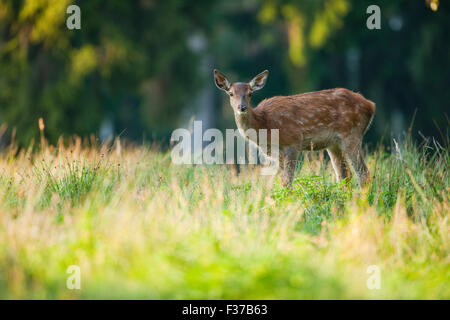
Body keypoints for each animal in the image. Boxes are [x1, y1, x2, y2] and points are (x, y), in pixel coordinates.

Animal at [213, 68, 374, 188]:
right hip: (333, 144)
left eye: (250, 93)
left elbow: (287, 182)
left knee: (363, 173)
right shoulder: (277, 153)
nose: (242, 107)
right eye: (231, 93)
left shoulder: (293, 142)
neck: (265, 126)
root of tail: (370, 105)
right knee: (344, 175)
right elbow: (283, 181)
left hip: (351, 133)